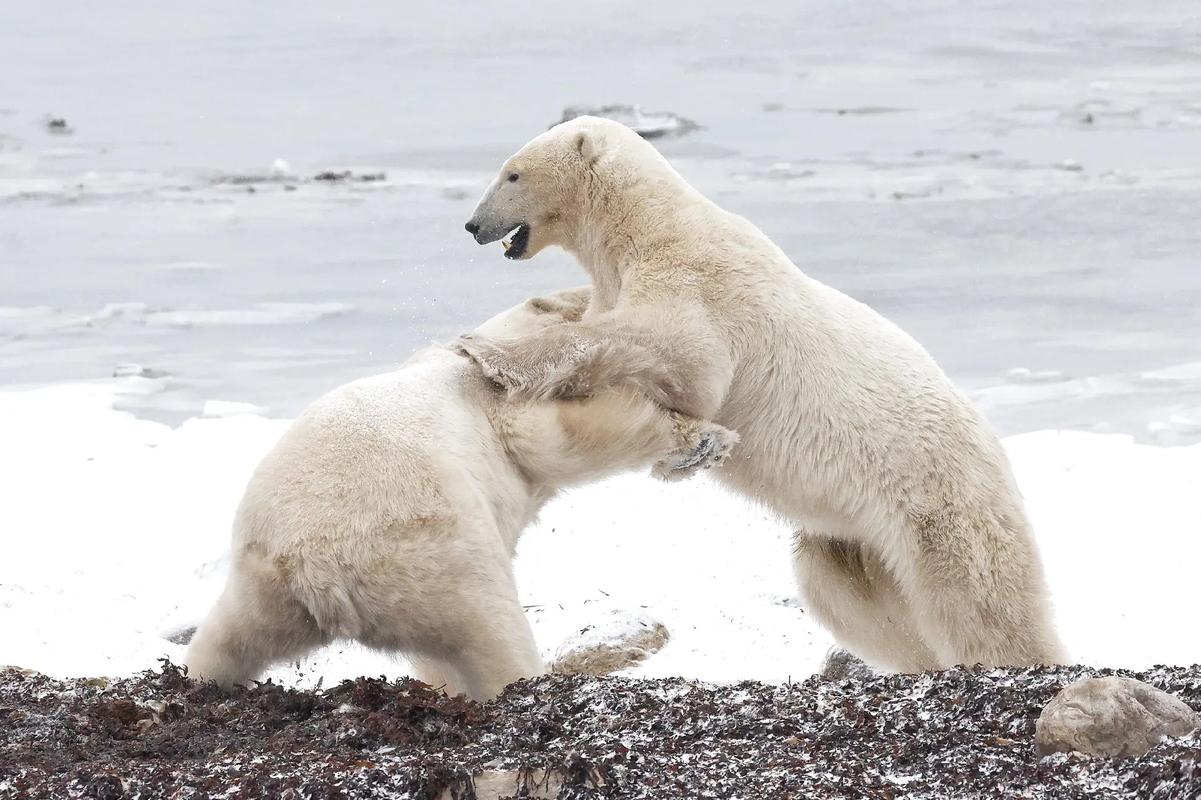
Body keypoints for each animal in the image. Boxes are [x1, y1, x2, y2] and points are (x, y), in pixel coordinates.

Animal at [183, 288, 737, 701]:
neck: (468, 354)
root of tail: (318, 567)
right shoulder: (505, 407)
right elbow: (565, 438)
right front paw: (705, 439)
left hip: (263, 579)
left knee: (229, 641)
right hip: (442, 558)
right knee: (494, 639)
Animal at [458, 116, 1066, 673]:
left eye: (512, 173)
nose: (472, 224)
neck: (647, 226)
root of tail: (995, 449)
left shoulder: (699, 285)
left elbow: (676, 359)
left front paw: (487, 351)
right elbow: (598, 318)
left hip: (940, 501)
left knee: (976, 599)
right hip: (852, 534)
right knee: (844, 593)